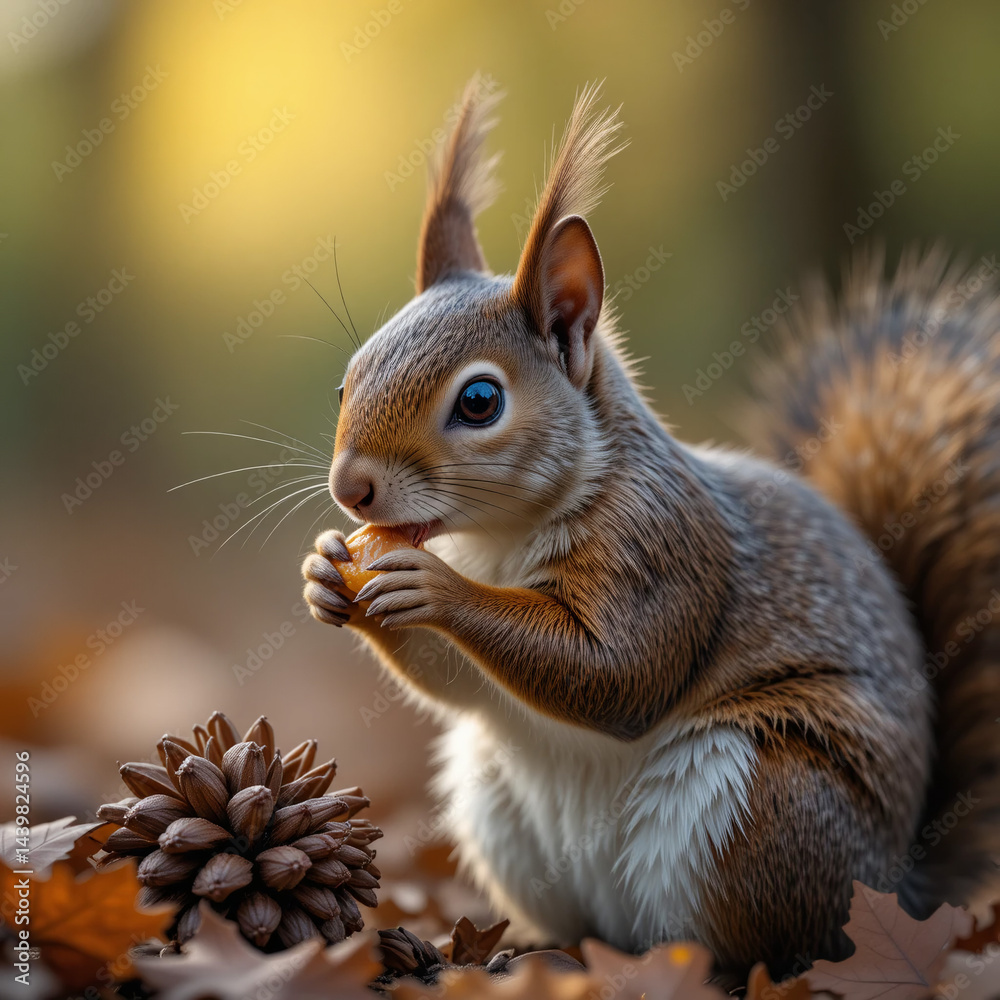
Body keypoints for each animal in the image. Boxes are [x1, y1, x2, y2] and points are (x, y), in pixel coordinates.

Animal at [301, 78, 1000, 978]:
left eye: (480, 401)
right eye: (347, 381)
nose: (350, 490)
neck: (500, 538)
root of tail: (904, 886)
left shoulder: (664, 545)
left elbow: (619, 671)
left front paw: (435, 588)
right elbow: (460, 685)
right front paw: (327, 573)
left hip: (765, 805)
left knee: (766, 941)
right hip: (500, 810)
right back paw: (526, 949)